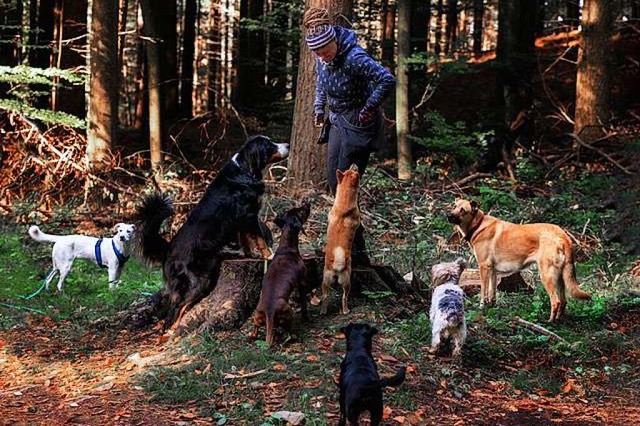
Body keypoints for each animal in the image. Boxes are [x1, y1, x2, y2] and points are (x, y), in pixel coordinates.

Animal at [251, 203, 312, 346]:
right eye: (301, 212)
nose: (307, 203)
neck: (286, 247)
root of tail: (269, 312)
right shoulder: (302, 282)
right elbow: (304, 304)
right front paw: (306, 317)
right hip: (288, 312)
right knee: (289, 331)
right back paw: (293, 336)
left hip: (257, 315)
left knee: (255, 331)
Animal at [320, 165, 360, 314]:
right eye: (355, 172)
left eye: (349, 170)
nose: (354, 164)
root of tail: (336, 268)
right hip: (347, 281)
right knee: (344, 297)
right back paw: (346, 310)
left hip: (325, 281)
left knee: (325, 296)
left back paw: (323, 311)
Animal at [444, 200, 592, 322]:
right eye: (454, 206)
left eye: (463, 210)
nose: (449, 216)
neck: (478, 224)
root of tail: (563, 235)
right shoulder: (492, 270)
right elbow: (492, 292)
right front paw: (491, 306)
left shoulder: (483, 267)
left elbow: (483, 291)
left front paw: (481, 307)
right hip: (560, 277)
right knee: (564, 301)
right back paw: (559, 320)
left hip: (547, 276)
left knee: (556, 301)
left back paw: (550, 322)